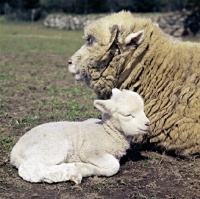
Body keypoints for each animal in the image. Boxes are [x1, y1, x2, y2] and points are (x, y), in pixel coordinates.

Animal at [9, 88, 150, 184]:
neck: (106, 132)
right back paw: (68, 171)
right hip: (52, 147)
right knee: (29, 169)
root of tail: (15, 151)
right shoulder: (90, 151)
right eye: (128, 115)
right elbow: (114, 166)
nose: (148, 124)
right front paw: (83, 167)